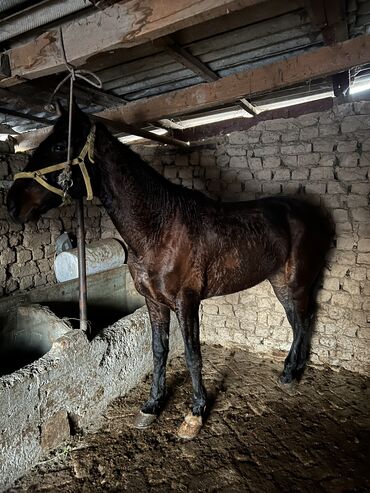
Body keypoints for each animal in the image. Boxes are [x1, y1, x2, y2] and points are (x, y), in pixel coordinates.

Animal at [7, 104, 332, 438]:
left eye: (60, 145)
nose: (12, 203)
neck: (160, 228)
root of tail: (312, 214)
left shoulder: (186, 301)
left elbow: (192, 354)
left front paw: (196, 412)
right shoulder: (154, 301)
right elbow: (158, 350)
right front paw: (152, 405)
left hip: (296, 283)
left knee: (303, 321)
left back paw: (291, 375)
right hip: (281, 283)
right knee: (299, 321)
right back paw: (291, 369)